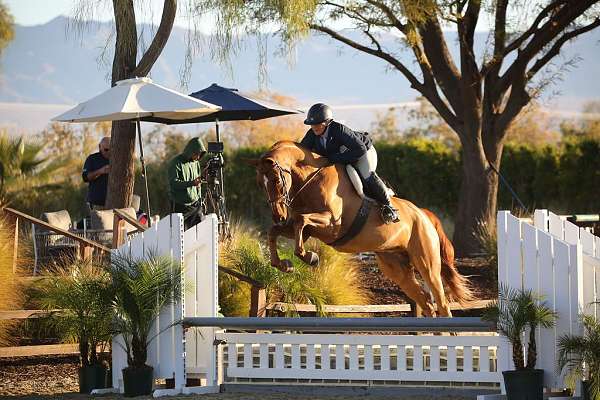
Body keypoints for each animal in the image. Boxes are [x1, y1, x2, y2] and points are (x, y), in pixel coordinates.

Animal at [248, 141, 474, 316]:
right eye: (259, 183)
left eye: (276, 180)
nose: (278, 216)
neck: (310, 179)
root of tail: (423, 214)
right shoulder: (309, 229)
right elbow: (276, 231)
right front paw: (284, 264)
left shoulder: (332, 223)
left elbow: (301, 221)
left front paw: (309, 257)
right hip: (397, 268)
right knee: (426, 302)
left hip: (427, 263)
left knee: (442, 303)